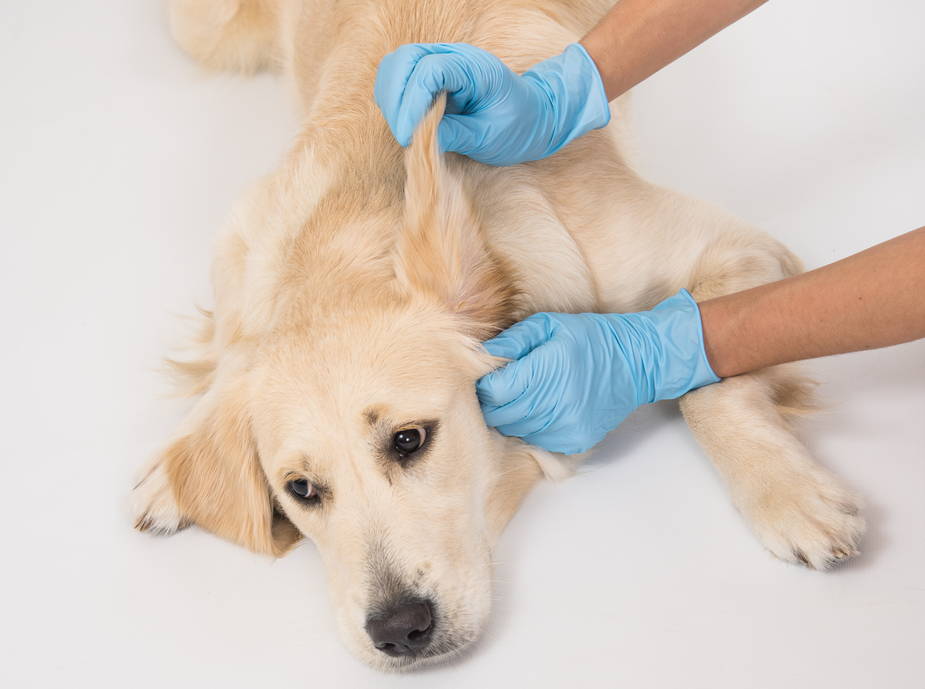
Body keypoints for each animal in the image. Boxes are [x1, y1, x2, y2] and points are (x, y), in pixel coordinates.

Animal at [132, 0, 868, 668]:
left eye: (409, 439)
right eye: (301, 490)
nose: (398, 631)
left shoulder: (736, 247)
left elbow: (705, 382)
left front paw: (787, 494)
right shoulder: (245, 244)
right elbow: (231, 352)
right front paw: (179, 468)